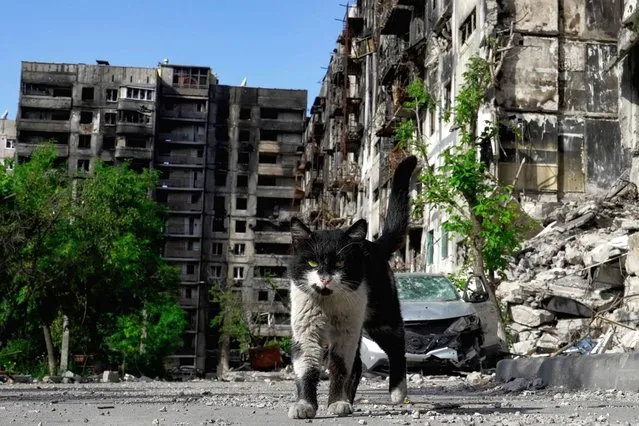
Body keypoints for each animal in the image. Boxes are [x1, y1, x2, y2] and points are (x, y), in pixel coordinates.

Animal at [288, 156, 420, 420]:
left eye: (340, 263)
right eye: (312, 262)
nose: (325, 278)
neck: (327, 303)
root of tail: (372, 244)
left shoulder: (345, 333)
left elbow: (340, 367)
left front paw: (336, 402)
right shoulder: (306, 329)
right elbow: (307, 367)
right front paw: (305, 405)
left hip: (380, 316)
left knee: (397, 346)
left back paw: (397, 392)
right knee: (358, 365)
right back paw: (349, 399)